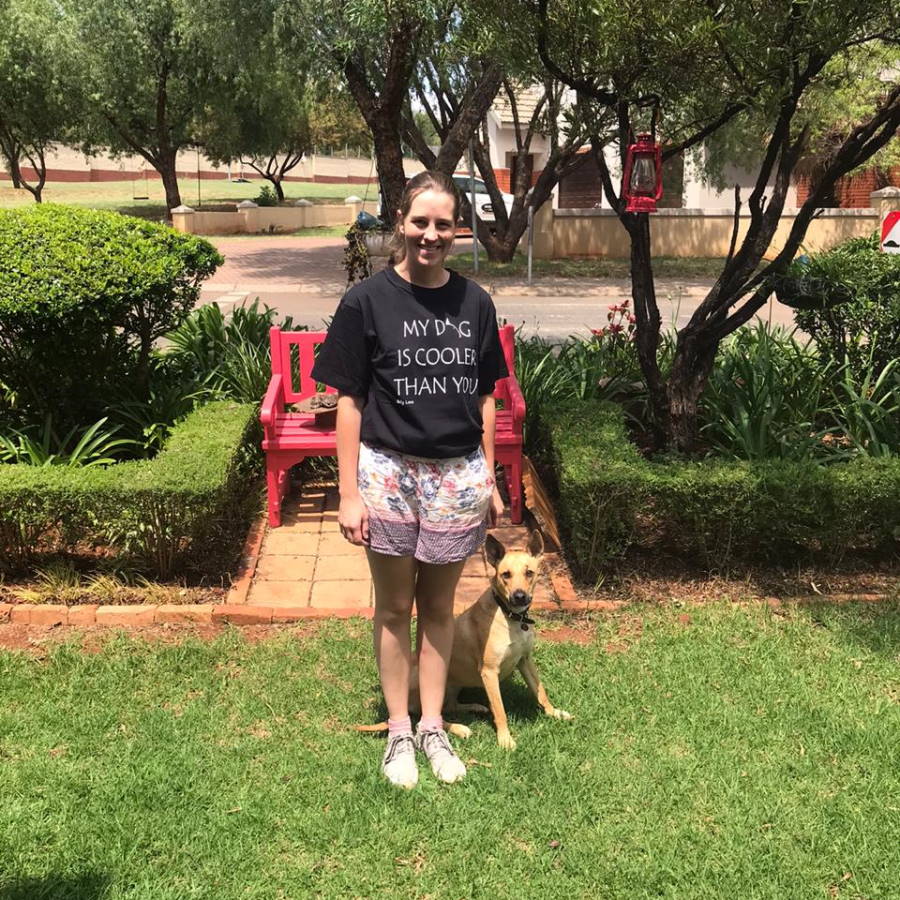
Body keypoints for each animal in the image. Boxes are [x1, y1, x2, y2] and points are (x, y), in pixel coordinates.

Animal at [357, 529, 573, 750]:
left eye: (529, 573)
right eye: (506, 574)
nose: (519, 596)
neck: (509, 615)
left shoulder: (525, 660)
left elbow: (540, 691)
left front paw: (554, 712)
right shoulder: (489, 672)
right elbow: (500, 709)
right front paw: (505, 739)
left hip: (454, 685)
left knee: (450, 706)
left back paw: (475, 707)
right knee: (424, 719)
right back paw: (460, 728)